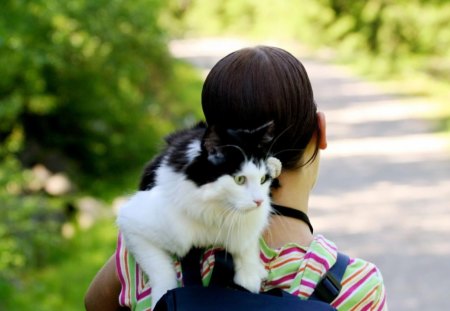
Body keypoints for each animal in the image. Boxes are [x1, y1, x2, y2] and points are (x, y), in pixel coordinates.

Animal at [118, 122, 284, 310]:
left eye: (263, 179)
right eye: (240, 180)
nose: (259, 201)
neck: (215, 209)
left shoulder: (254, 219)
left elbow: (246, 243)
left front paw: (249, 276)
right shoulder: (132, 222)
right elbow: (161, 270)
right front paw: (161, 298)